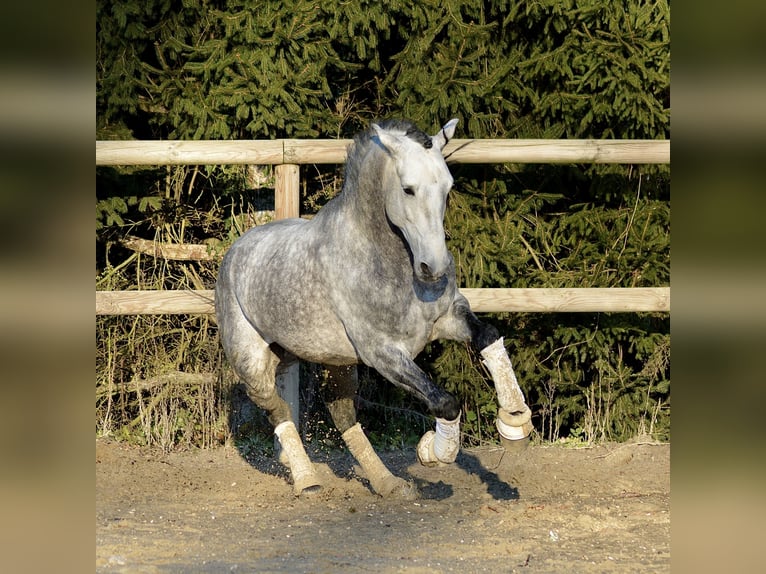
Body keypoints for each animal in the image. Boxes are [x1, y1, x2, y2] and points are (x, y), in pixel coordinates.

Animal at [213, 118, 532, 500]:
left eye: (448, 187)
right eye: (408, 189)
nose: (434, 269)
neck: (387, 260)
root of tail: (236, 250)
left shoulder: (447, 318)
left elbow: (488, 336)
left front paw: (515, 421)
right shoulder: (381, 352)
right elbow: (443, 401)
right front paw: (434, 451)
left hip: (334, 362)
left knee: (342, 415)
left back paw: (387, 483)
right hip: (252, 361)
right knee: (278, 409)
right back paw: (306, 479)